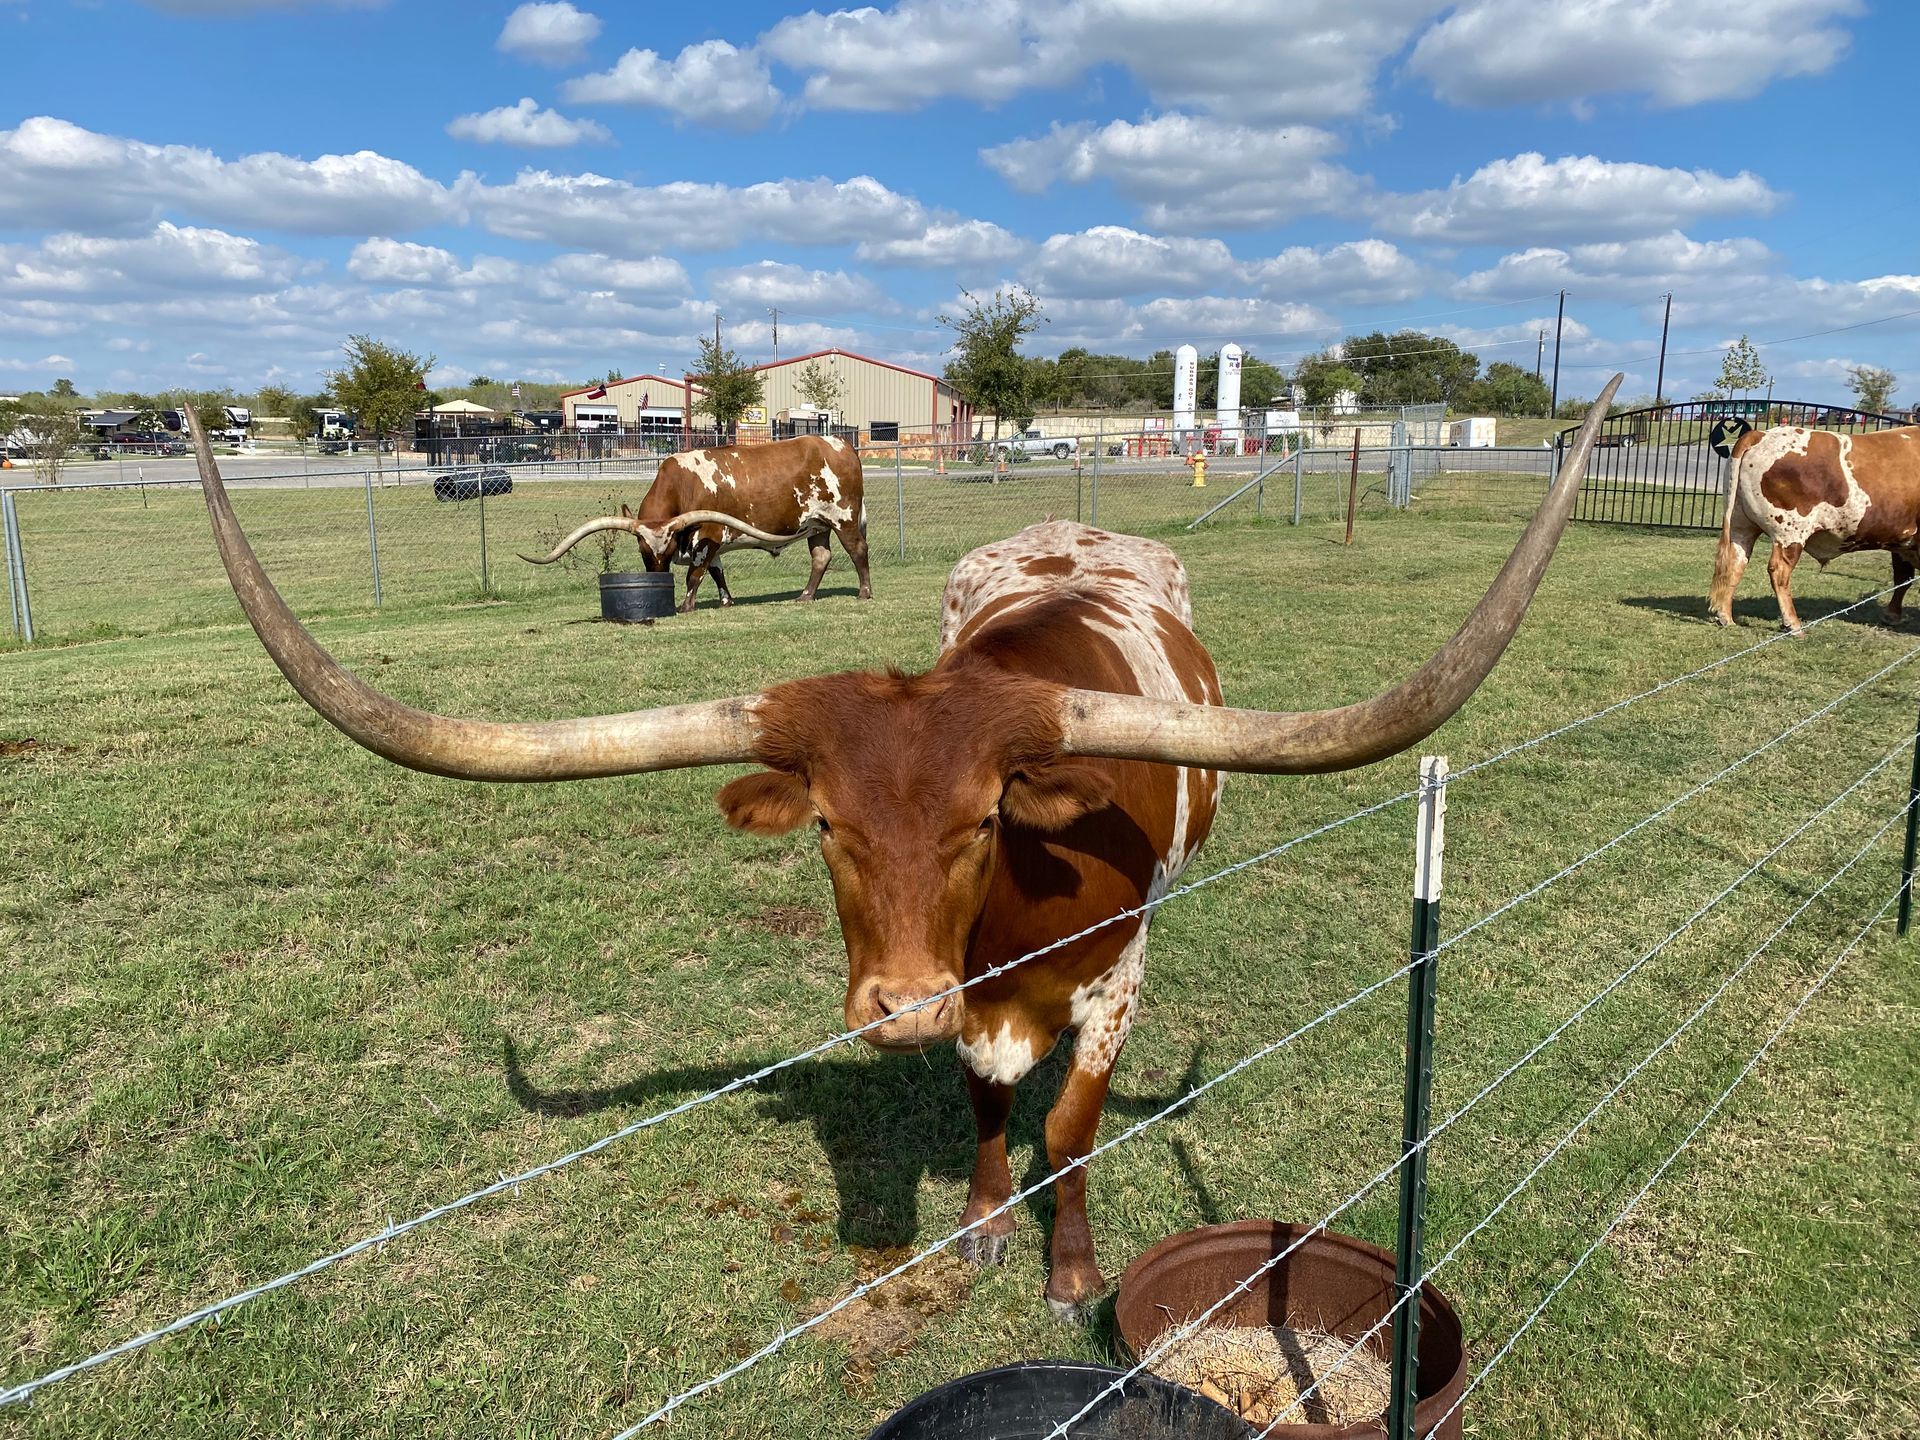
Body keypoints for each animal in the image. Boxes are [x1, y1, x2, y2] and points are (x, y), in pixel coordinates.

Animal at [524, 433, 871, 613]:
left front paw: (685, 606)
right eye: (643, 552)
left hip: (843, 517)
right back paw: (805, 595)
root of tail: (840, 443)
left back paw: (864, 592)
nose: (657, 579)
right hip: (817, 525)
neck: (683, 484)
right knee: (821, 557)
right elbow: (717, 572)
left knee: (858, 550)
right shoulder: (709, 542)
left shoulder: (708, 534)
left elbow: (696, 574)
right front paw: (727, 601)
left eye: (668, 550)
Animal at [1708, 417, 1920, 634]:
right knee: (1779, 571)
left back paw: (1726, 617)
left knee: (1735, 562)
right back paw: (1793, 624)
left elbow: (1903, 578)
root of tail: (1760, 434)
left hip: (1740, 525)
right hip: (1790, 532)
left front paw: (1892, 615)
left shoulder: (1901, 541)